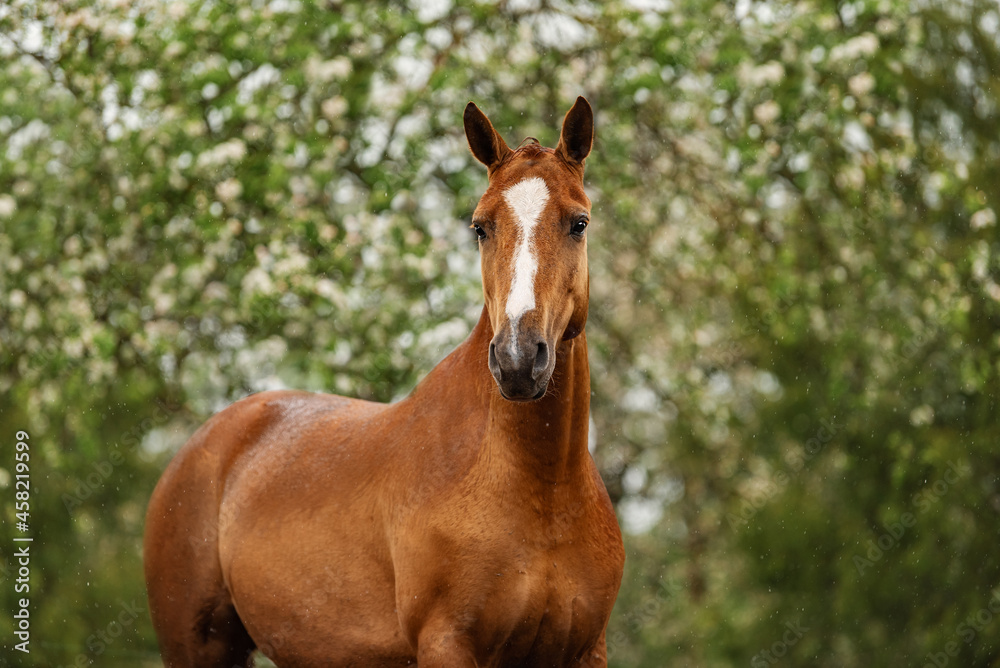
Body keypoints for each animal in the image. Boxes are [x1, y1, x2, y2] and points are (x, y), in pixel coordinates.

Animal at [145, 98, 620, 668]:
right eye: (480, 227)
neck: (540, 493)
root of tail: (201, 446)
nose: (517, 359)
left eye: (579, 222)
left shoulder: (586, 651)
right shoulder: (445, 644)